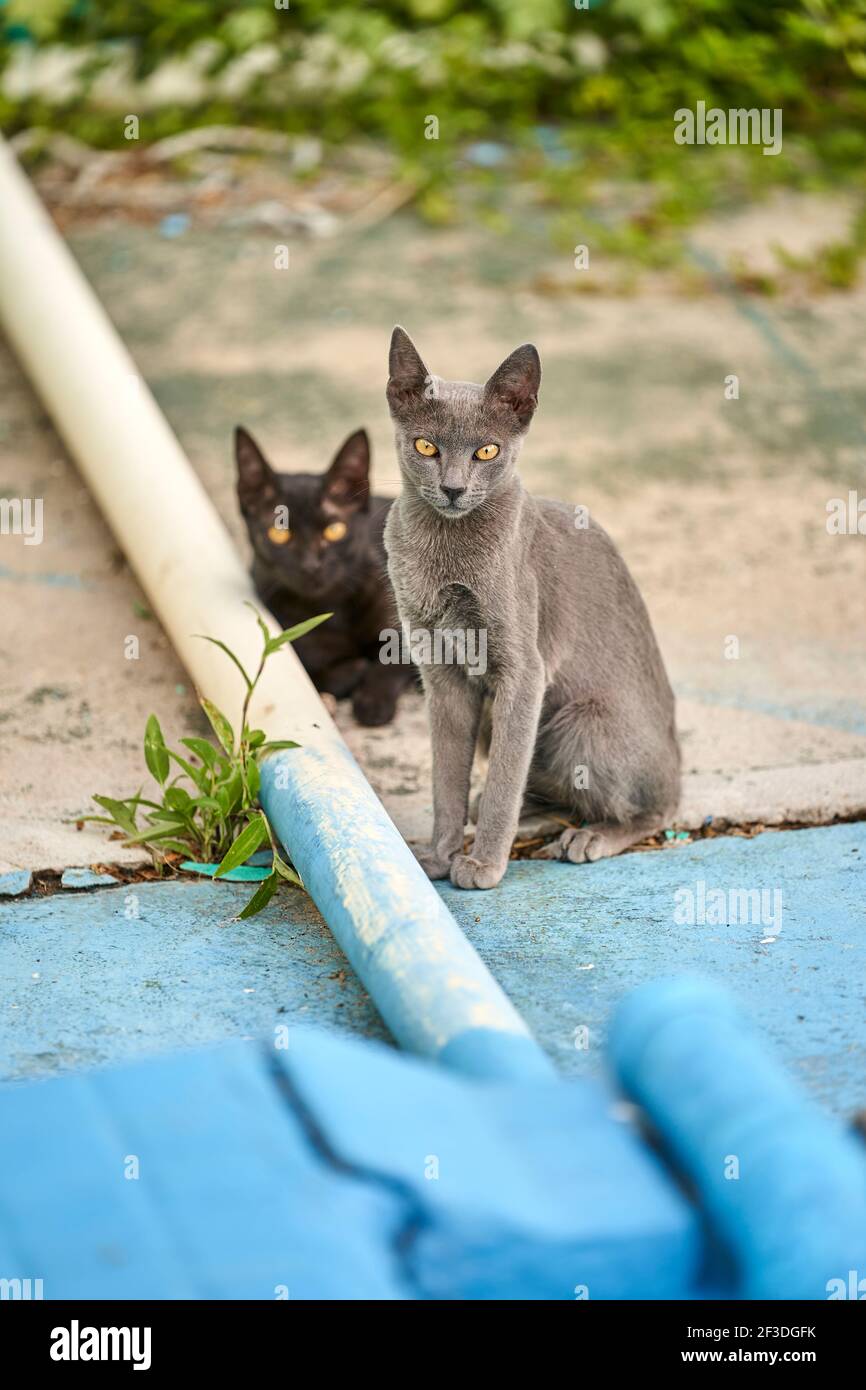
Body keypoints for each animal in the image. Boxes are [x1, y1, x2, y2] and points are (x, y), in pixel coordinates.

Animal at [234, 422, 414, 728]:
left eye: (334, 530)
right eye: (279, 534)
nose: (311, 565)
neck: (331, 609)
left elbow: (392, 659)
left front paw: (373, 702)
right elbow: (317, 673)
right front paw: (351, 672)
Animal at [383, 325, 681, 889]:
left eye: (487, 451)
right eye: (426, 445)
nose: (453, 488)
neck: (447, 554)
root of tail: (677, 762)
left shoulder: (524, 668)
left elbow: (506, 776)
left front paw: (482, 865)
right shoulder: (440, 670)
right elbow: (446, 777)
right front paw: (440, 854)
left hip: (580, 724)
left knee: (653, 809)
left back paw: (588, 838)